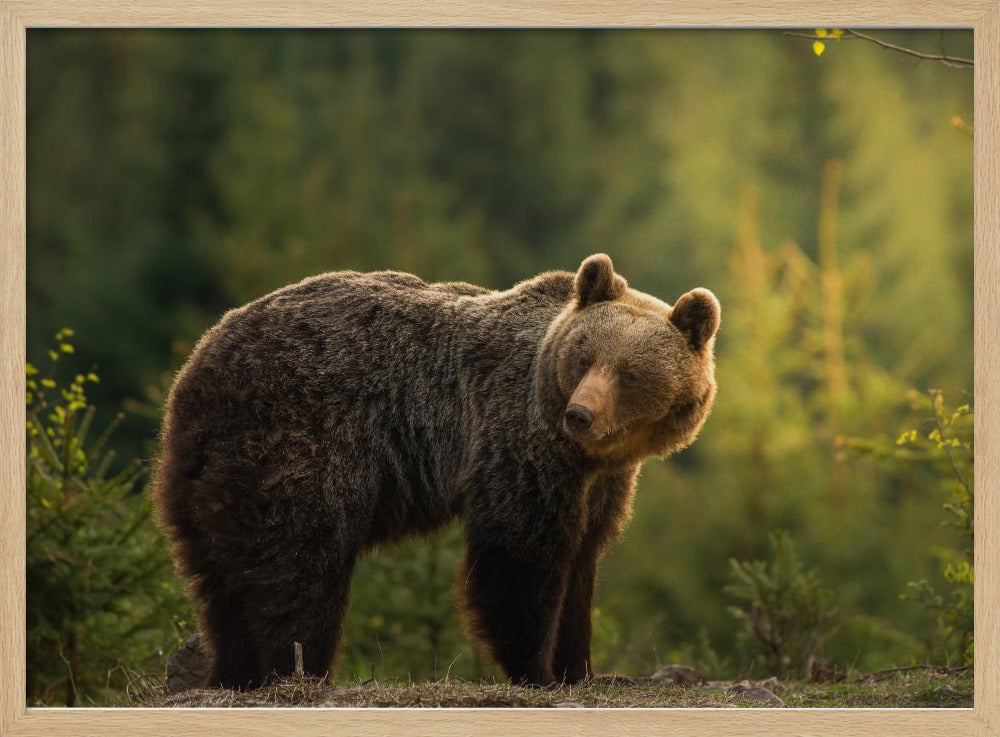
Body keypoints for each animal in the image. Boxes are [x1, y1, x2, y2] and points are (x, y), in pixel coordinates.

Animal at [151, 253, 720, 689]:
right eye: (584, 357)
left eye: (629, 372)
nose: (580, 414)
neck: (589, 454)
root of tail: (198, 366)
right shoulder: (517, 440)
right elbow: (521, 555)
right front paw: (537, 670)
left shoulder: (601, 483)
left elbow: (582, 561)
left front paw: (581, 668)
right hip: (297, 441)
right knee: (300, 565)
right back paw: (298, 670)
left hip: (209, 472)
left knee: (220, 578)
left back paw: (232, 671)